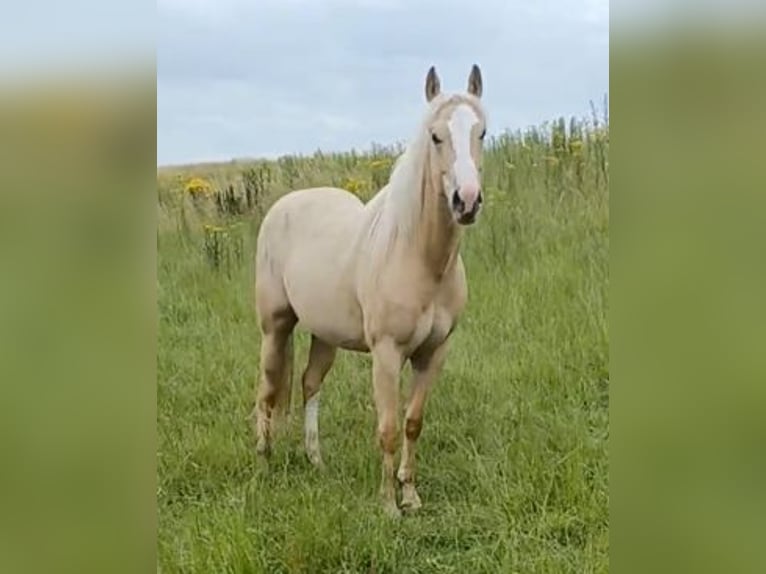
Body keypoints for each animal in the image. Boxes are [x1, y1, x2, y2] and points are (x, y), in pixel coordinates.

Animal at [255, 66, 488, 516]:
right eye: (435, 136)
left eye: (482, 133)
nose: (466, 202)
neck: (417, 257)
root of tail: (283, 205)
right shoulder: (386, 353)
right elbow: (389, 427)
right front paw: (387, 506)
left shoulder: (434, 353)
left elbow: (413, 422)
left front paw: (410, 495)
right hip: (275, 327)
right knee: (268, 387)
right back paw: (263, 456)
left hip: (324, 334)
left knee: (309, 384)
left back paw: (316, 459)